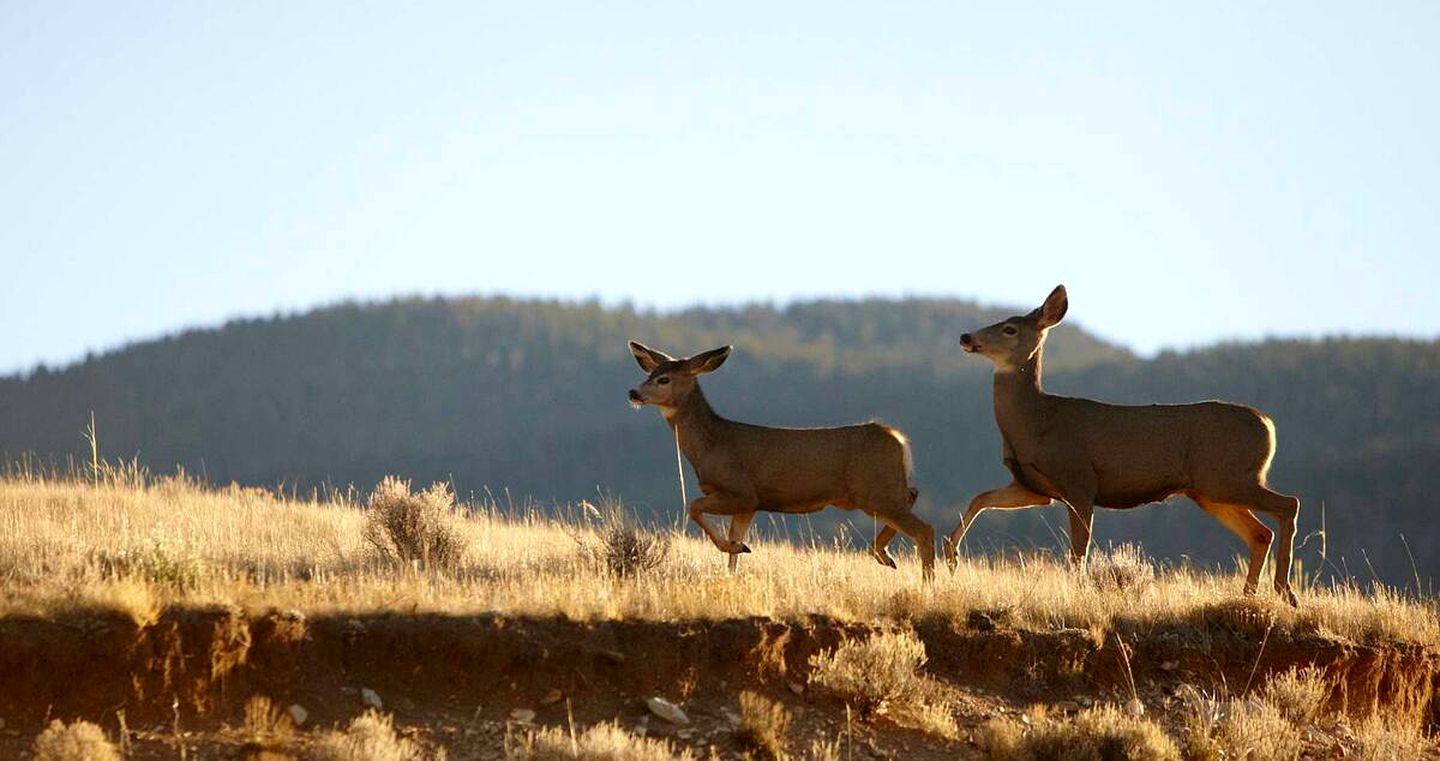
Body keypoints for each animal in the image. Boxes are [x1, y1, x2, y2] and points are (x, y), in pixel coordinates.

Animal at [627, 341, 938, 579]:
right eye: (650, 373)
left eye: (664, 379)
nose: (633, 392)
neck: (711, 445)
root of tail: (898, 439)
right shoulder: (748, 505)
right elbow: (734, 541)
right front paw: (734, 560)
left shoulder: (741, 492)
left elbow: (693, 507)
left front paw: (735, 548)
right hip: (880, 491)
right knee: (914, 495)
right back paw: (883, 555)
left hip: (875, 490)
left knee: (925, 529)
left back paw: (924, 583)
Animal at [944, 285, 1307, 605]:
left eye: (1009, 329)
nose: (966, 337)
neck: (1036, 424)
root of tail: (1268, 425)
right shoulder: (1035, 487)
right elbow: (981, 498)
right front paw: (951, 556)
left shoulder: (1079, 480)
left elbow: (1078, 550)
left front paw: (1081, 592)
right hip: (1210, 490)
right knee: (1260, 533)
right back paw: (1249, 595)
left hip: (1227, 477)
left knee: (1289, 504)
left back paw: (1284, 591)